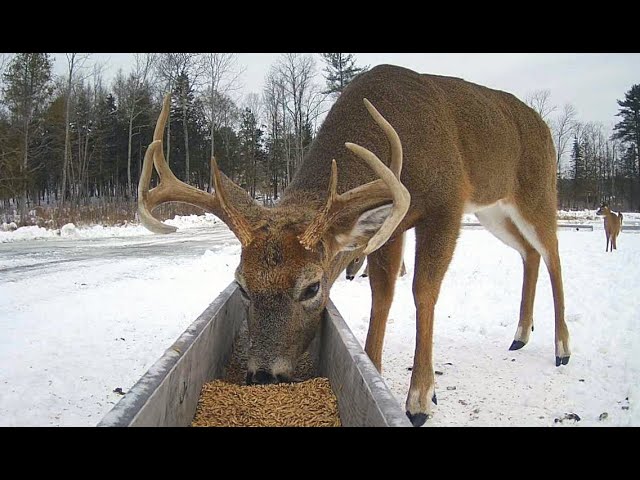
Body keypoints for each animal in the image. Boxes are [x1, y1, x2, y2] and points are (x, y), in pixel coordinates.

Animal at [139, 64, 568, 428]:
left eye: (312, 287)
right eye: (241, 285)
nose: (263, 376)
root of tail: (542, 124)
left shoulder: (447, 203)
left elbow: (423, 292)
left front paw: (420, 399)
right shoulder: (391, 226)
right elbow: (383, 293)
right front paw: (373, 369)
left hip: (537, 191)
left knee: (552, 253)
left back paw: (562, 347)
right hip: (494, 211)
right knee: (529, 253)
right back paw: (520, 334)